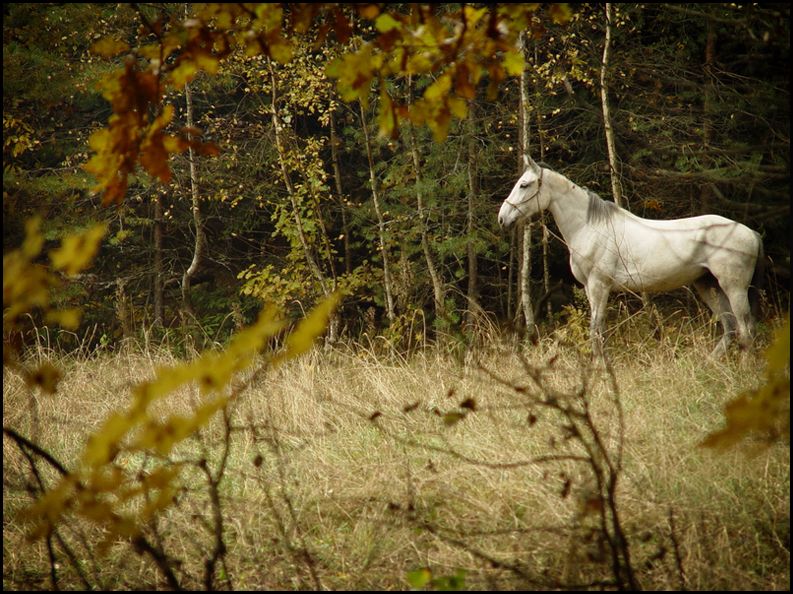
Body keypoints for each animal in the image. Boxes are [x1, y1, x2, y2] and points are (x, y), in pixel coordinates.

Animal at [498, 156, 764, 357]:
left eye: (524, 184)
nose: (502, 218)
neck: (589, 226)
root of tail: (751, 232)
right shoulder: (590, 288)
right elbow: (598, 331)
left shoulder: (599, 286)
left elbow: (596, 331)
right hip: (707, 285)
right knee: (731, 328)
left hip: (733, 287)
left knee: (746, 330)